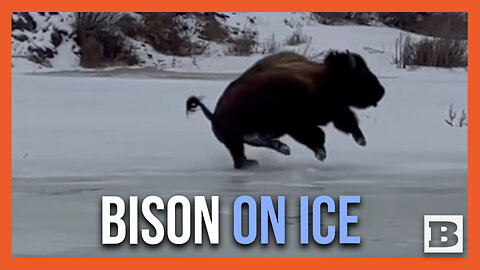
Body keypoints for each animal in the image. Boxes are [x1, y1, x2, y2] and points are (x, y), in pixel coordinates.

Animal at [186, 50, 384, 169]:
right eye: (362, 74)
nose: (381, 91)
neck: (325, 78)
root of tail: (213, 115)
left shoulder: (335, 111)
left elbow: (346, 122)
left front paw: (360, 139)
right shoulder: (298, 123)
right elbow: (317, 135)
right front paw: (321, 153)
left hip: (238, 140)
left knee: (248, 148)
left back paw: (277, 150)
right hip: (238, 137)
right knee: (246, 148)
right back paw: (272, 153)